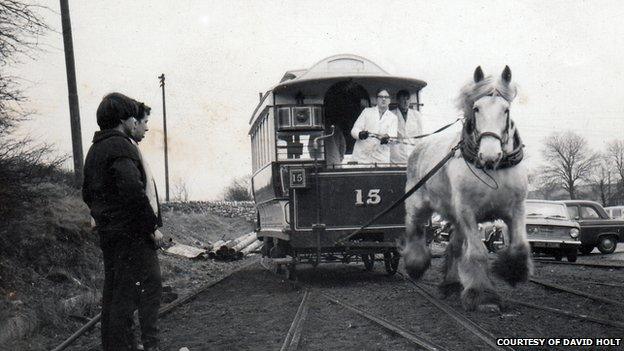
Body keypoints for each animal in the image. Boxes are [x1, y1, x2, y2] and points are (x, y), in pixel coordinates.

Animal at [402, 65, 528, 310]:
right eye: (477, 109)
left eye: (506, 110)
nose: (489, 154)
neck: (495, 169)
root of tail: (419, 146)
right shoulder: (468, 211)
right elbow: (478, 252)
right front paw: (481, 294)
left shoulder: (516, 209)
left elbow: (519, 246)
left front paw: (513, 272)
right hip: (417, 206)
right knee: (415, 231)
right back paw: (415, 264)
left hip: (455, 215)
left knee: (454, 246)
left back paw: (450, 284)